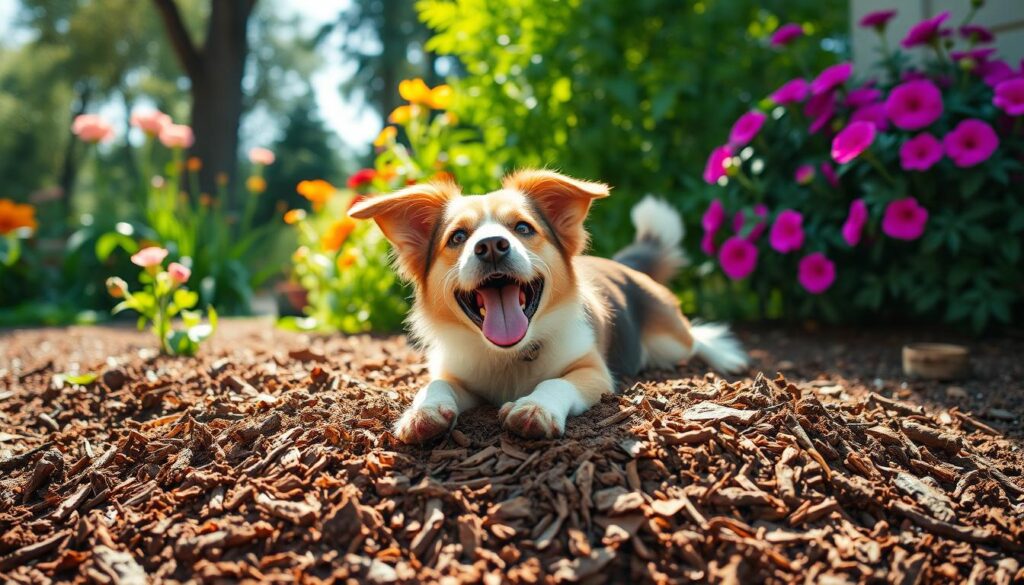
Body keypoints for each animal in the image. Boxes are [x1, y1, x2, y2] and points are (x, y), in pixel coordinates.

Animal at [348, 169, 749, 444]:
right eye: (458, 237)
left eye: (523, 228)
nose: (491, 246)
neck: (509, 355)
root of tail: (623, 265)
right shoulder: (458, 374)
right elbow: (435, 385)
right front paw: (423, 412)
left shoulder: (594, 372)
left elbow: (556, 381)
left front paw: (534, 407)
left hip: (670, 342)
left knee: (695, 337)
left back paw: (724, 354)